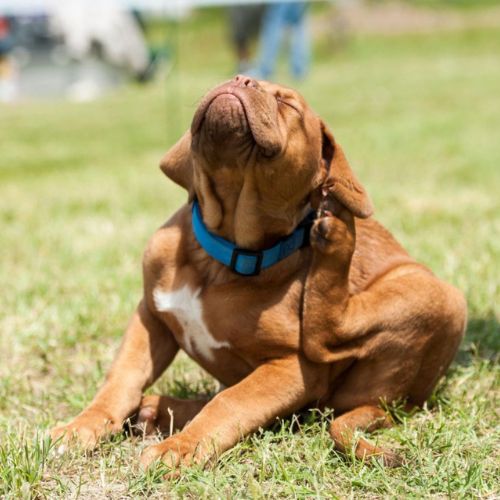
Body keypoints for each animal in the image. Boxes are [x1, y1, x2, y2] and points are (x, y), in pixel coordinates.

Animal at [48, 75, 466, 468]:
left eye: (288, 104)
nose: (240, 79)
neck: (221, 254)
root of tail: (393, 404)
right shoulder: (150, 316)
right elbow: (121, 379)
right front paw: (81, 426)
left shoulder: (292, 368)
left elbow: (232, 403)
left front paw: (179, 449)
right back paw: (156, 410)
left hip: (440, 296)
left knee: (326, 338)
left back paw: (338, 234)